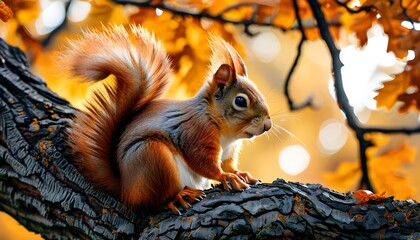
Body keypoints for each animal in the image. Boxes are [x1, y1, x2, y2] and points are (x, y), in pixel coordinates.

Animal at [63, 24, 270, 214]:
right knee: (155, 202)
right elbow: (204, 163)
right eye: (240, 101)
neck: (226, 134)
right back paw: (179, 196)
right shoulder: (196, 132)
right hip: (153, 157)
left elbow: (227, 163)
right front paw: (226, 177)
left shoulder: (228, 151)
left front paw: (238, 173)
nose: (267, 125)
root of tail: (125, 190)